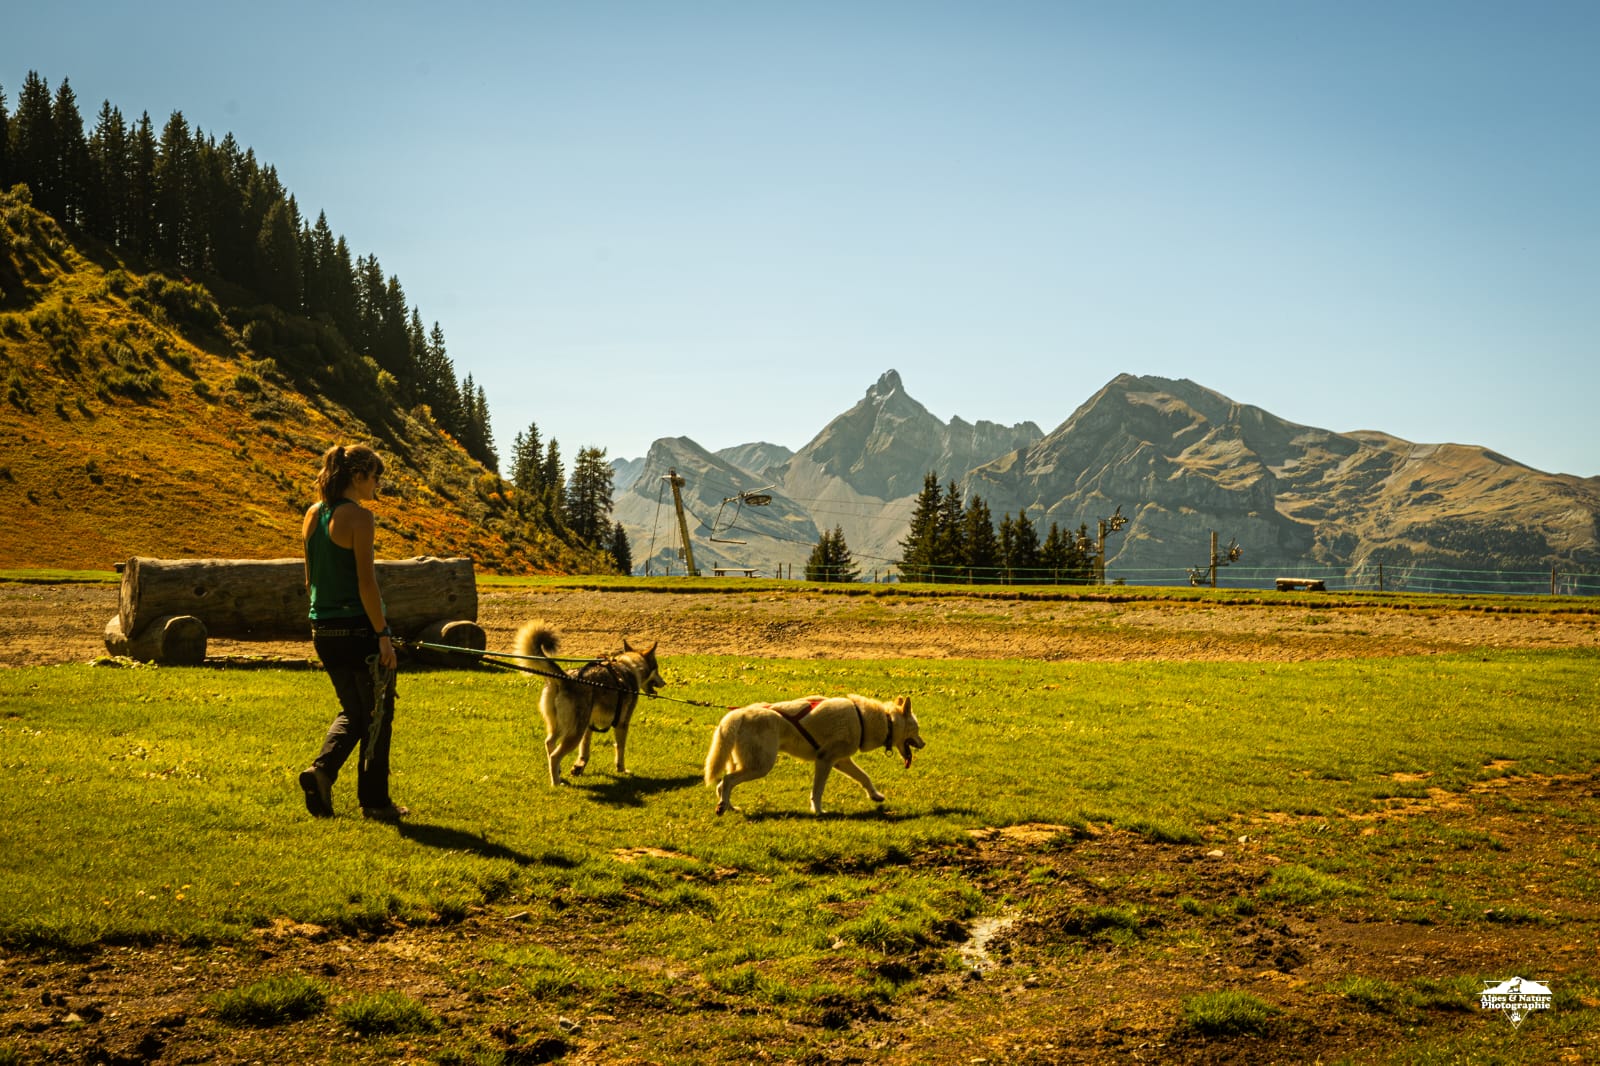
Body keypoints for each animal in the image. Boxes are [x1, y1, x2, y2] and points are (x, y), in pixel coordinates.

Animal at [515, 620, 665, 787]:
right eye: (657, 668)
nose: (664, 683)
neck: (630, 666)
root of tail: (566, 678)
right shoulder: (622, 724)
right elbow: (620, 748)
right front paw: (621, 769)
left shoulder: (589, 726)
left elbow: (584, 751)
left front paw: (579, 768)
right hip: (575, 732)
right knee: (555, 755)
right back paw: (556, 783)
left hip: (562, 726)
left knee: (549, 744)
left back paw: (558, 773)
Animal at [703, 694, 924, 814]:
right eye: (917, 729)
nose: (924, 744)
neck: (863, 719)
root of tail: (738, 713)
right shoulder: (824, 759)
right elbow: (817, 791)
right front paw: (818, 811)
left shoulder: (841, 761)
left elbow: (864, 777)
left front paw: (875, 796)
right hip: (761, 766)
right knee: (728, 780)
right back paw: (723, 807)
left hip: (748, 764)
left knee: (723, 784)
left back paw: (728, 807)